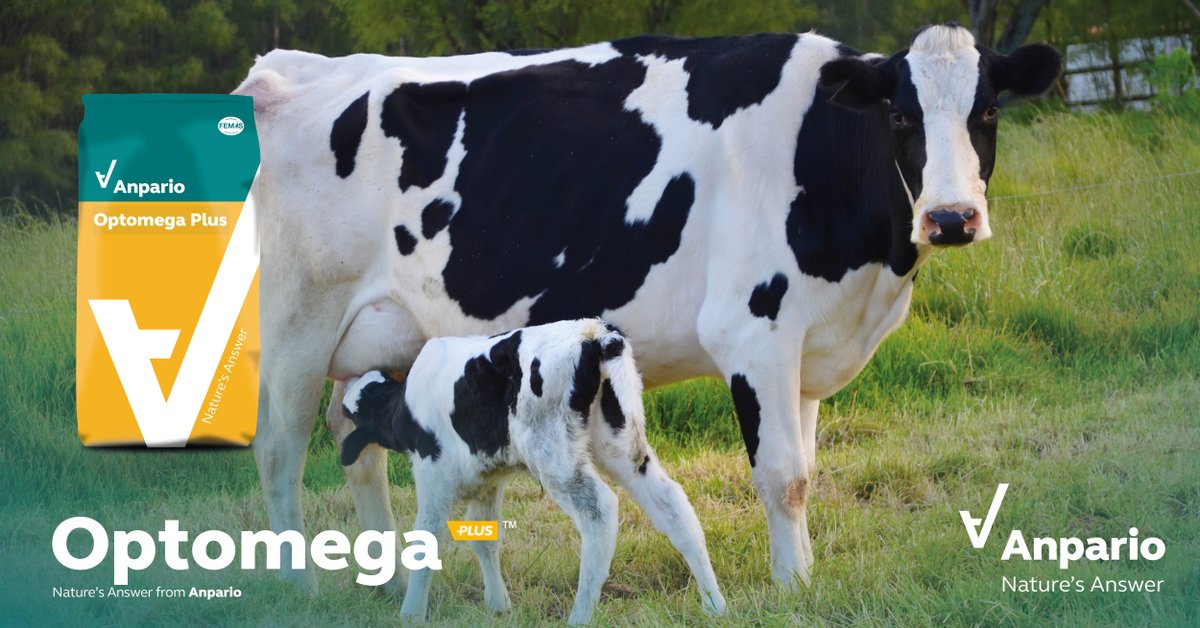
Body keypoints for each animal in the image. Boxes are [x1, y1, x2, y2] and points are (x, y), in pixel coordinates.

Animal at [338, 319, 726, 623]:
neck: (404, 404)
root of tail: (595, 333)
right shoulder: (488, 479)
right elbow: (484, 539)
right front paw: (498, 606)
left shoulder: (433, 472)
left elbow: (426, 539)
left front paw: (411, 613)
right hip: (621, 445)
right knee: (671, 504)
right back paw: (715, 606)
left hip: (554, 454)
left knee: (600, 510)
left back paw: (580, 616)